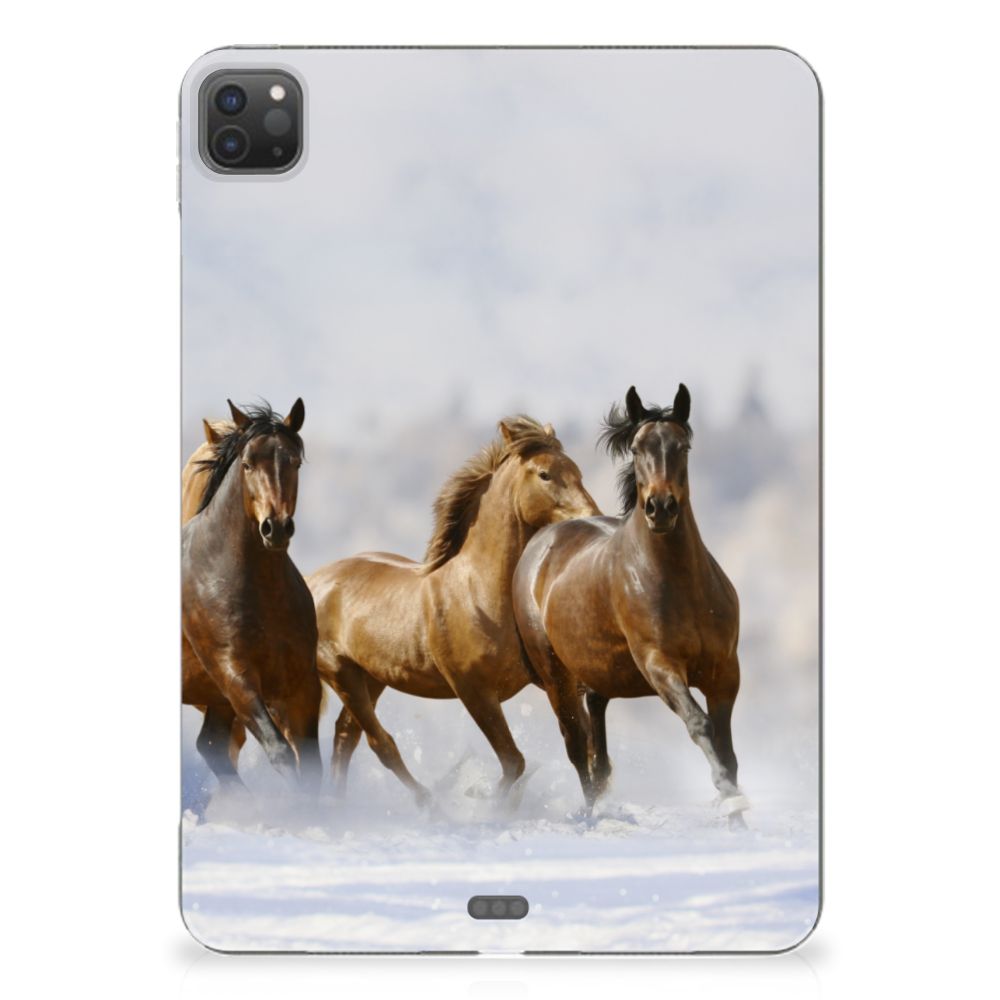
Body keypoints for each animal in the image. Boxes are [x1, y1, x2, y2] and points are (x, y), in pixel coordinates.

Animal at [182, 399, 322, 796]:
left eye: (295, 461)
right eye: (247, 464)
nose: (275, 528)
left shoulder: (302, 683)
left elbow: (311, 764)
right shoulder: (236, 678)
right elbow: (281, 752)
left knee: (212, 746)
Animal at [308, 416, 600, 807]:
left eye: (577, 471)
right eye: (545, 474)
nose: (593, 518)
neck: (479, 593)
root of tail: (312, 581)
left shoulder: (553, 680)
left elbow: (578, 743)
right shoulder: (473, 691)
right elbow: (514, 762)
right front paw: (485, 801)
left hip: (371, 677)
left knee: (345, 737)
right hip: (342, 674)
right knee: (379, 743)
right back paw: (429, 803)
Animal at [512, 385, 749, 826]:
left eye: (683, 446)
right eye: (638, 448)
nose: (661, 507)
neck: (680, 585)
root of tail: (541, 542)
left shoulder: (725, 671)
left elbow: (727, 749)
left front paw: (738, 817)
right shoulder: (659, 665)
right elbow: (700, 725)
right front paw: (729, 800)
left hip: (598, 675)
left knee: (597, 746)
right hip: (556, 677)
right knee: (577, 747)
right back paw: (590, 817)